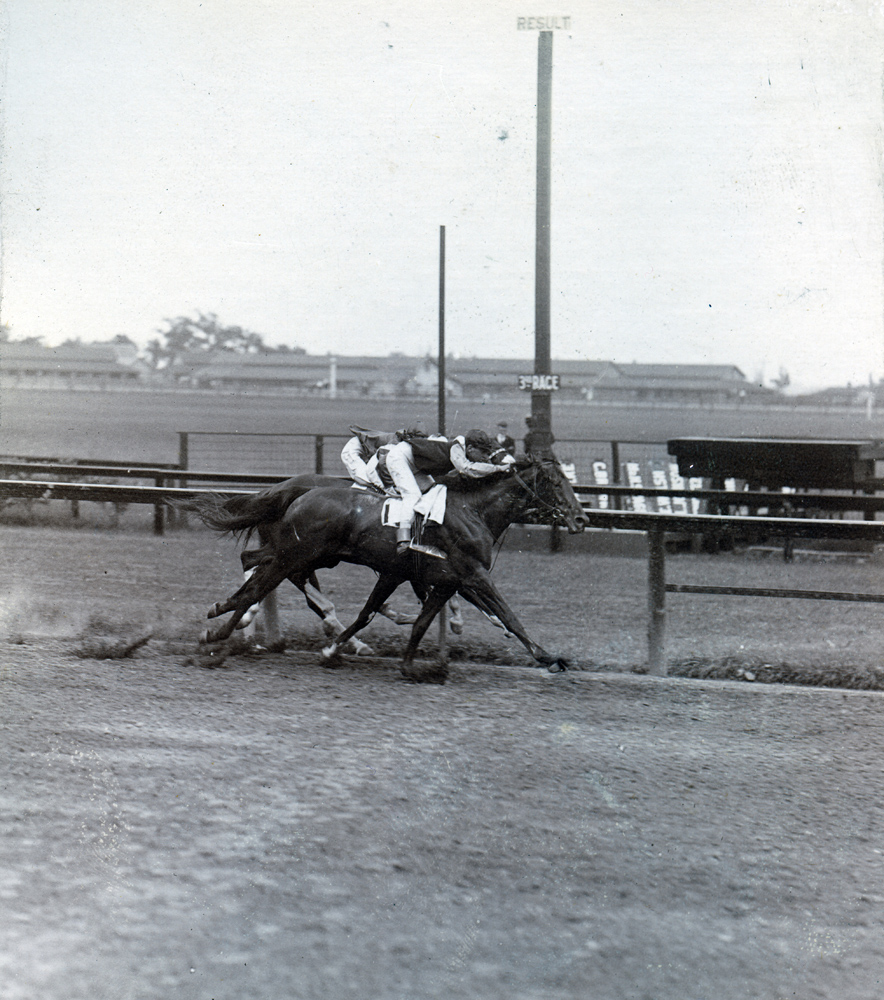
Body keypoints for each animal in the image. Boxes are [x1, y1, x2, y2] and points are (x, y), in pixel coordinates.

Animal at [199, 458, 588, 680]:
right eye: (557, 483)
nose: (582, 519)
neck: (471, 511)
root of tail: (293, 491)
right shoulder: (471, 574)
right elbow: (509, 615)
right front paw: (548, 658)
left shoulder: (434, 579)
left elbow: (407, 618)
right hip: (296, 554)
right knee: (261, 584)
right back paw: (220, 633)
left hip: (303, 554)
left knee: (254, 566)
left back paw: (225, 620)